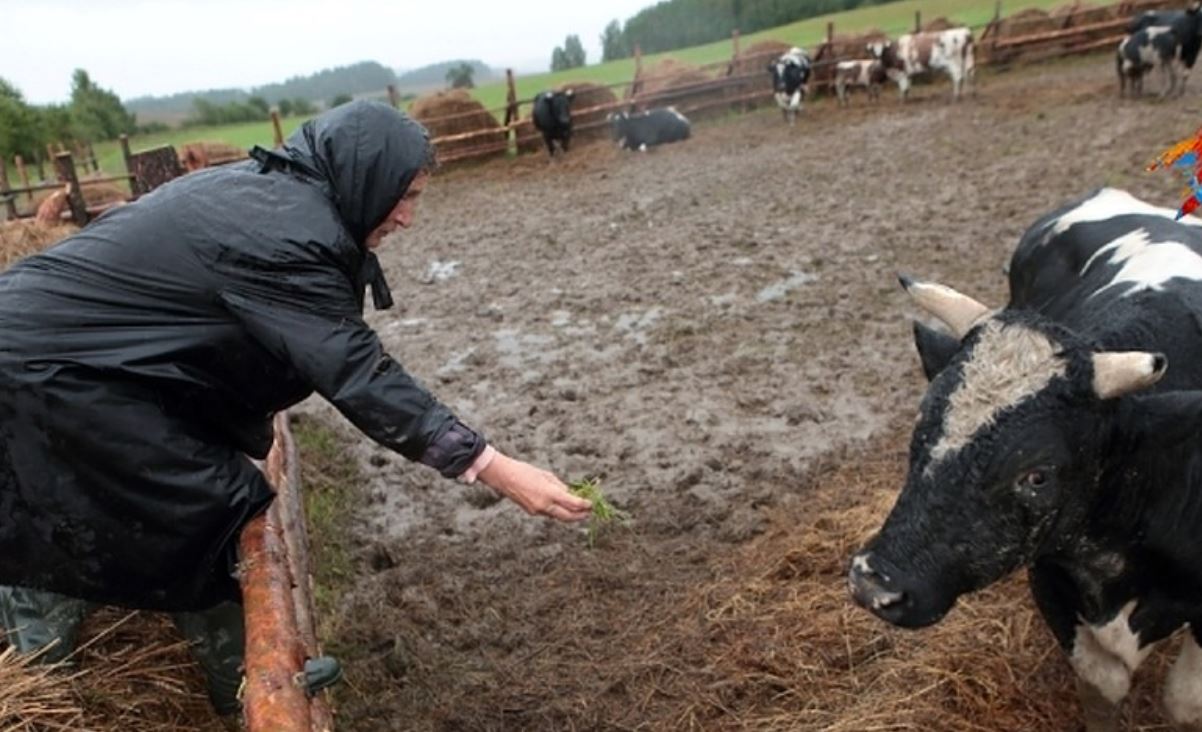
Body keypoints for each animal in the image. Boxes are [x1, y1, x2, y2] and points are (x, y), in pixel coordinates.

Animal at [846, 187, 1202, 730]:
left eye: (1037, 476)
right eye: (922, 427)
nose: (875, 583)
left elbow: (1185, 702)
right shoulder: (1050, 579)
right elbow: (1102, 686)